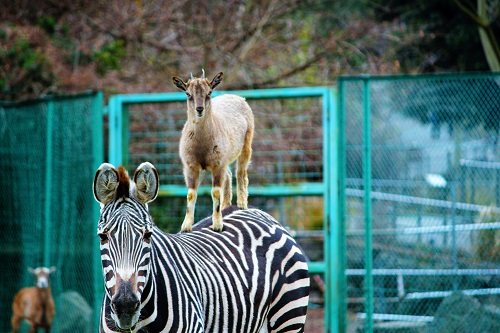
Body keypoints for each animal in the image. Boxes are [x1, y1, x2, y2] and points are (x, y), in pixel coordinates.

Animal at [174, 70, 256, 231]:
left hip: (246, 145)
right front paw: (185, 226)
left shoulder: (218, 165)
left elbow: (216, 192)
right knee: (229, 175)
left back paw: (242, 204)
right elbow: (191, 194)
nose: (199, 109)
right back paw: (226, 206)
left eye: (209, 92)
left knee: (241, 173)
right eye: (187, 93)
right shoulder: (190, 166)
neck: (202, 147)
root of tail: (237, 97)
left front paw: (217, 225)